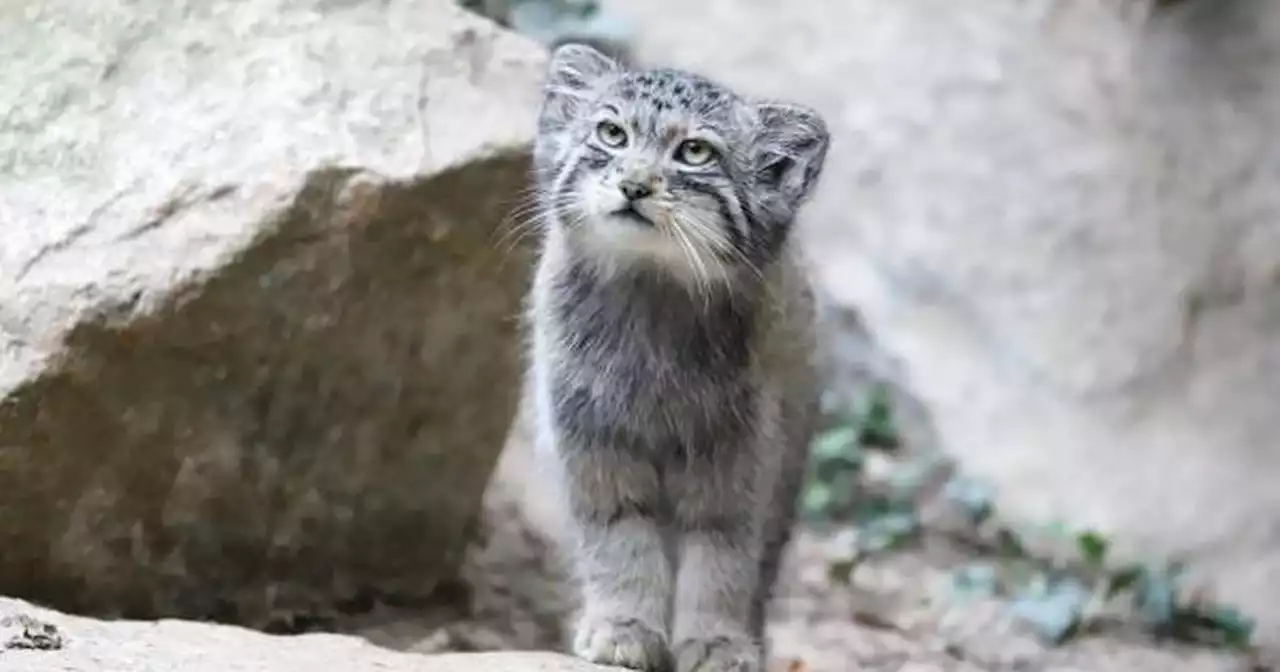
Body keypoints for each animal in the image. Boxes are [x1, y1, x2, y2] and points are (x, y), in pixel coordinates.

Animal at [522, 43, 829, 670]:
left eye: (694, 152)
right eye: (612, 133)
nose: (635, 185)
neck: (651, 296)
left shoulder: (740, 455)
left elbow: (721, 559)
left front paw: (715, 640)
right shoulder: (591, 443)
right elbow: (618, 541)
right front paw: (622, 625)